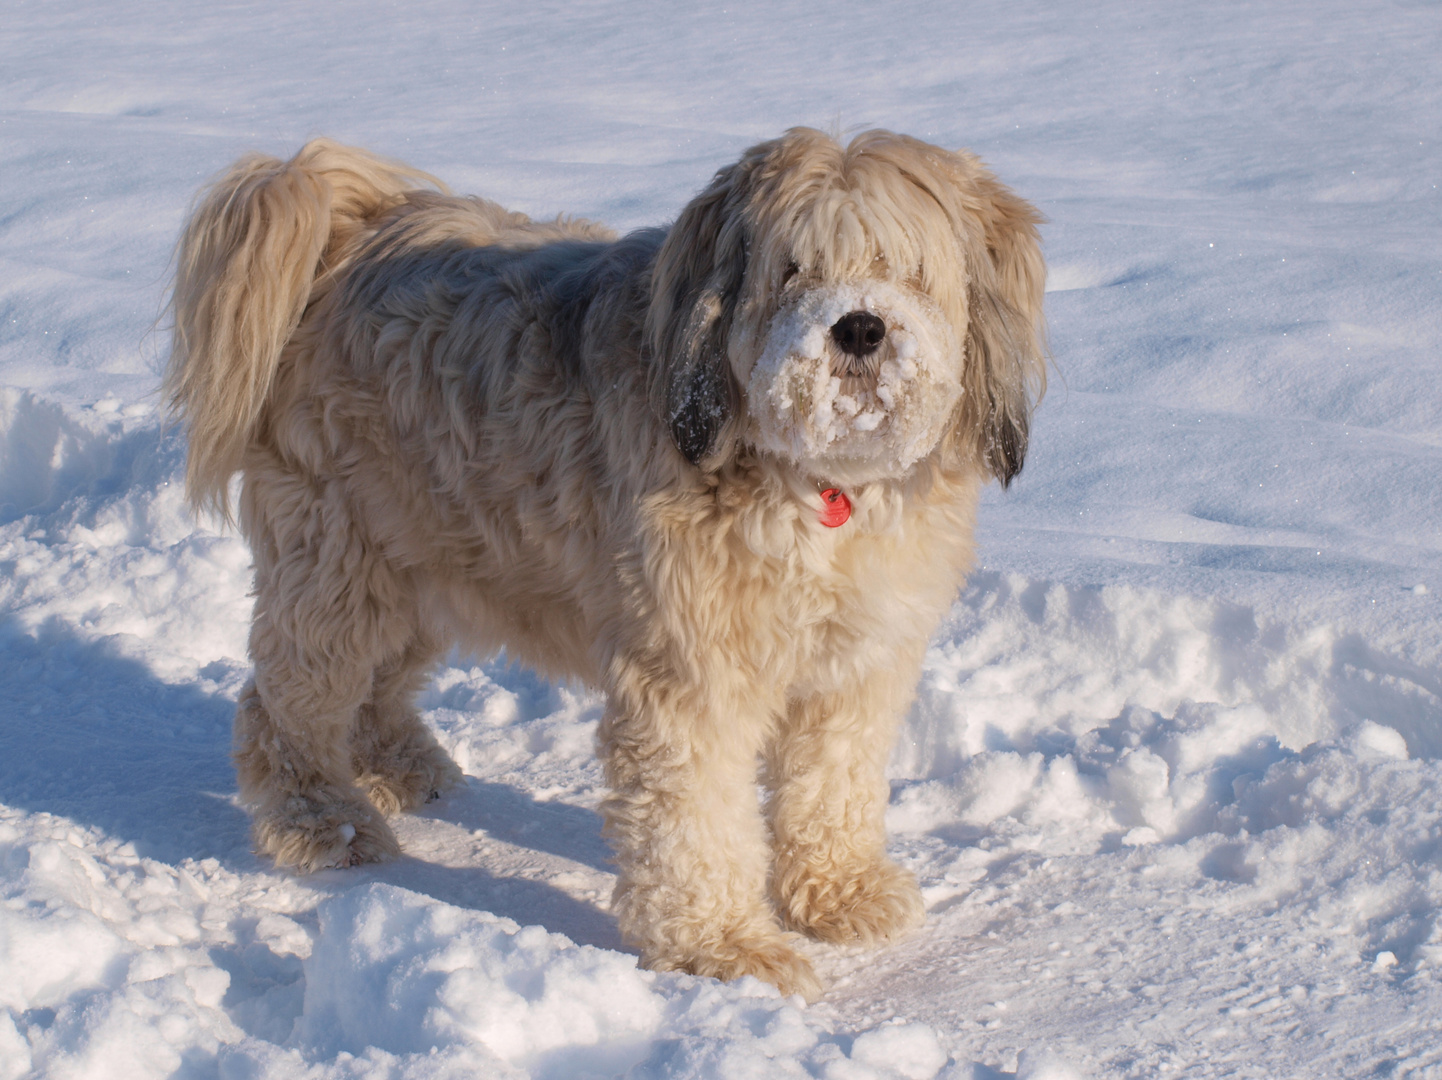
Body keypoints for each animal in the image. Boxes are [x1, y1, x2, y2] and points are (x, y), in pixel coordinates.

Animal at [165, 130, 1049, 997]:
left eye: (908, 267)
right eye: (791, 269)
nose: (859, 328)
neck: (811, 485)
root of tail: (351, 224)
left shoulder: (854, 666)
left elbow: (833, 784)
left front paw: (842, 893)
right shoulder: (689, 669)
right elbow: (694, 820)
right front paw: (725, 948)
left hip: (434, 560)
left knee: (375, 685)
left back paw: (401, 767)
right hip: (340, 563)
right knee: (282, 703)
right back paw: (320, 821)